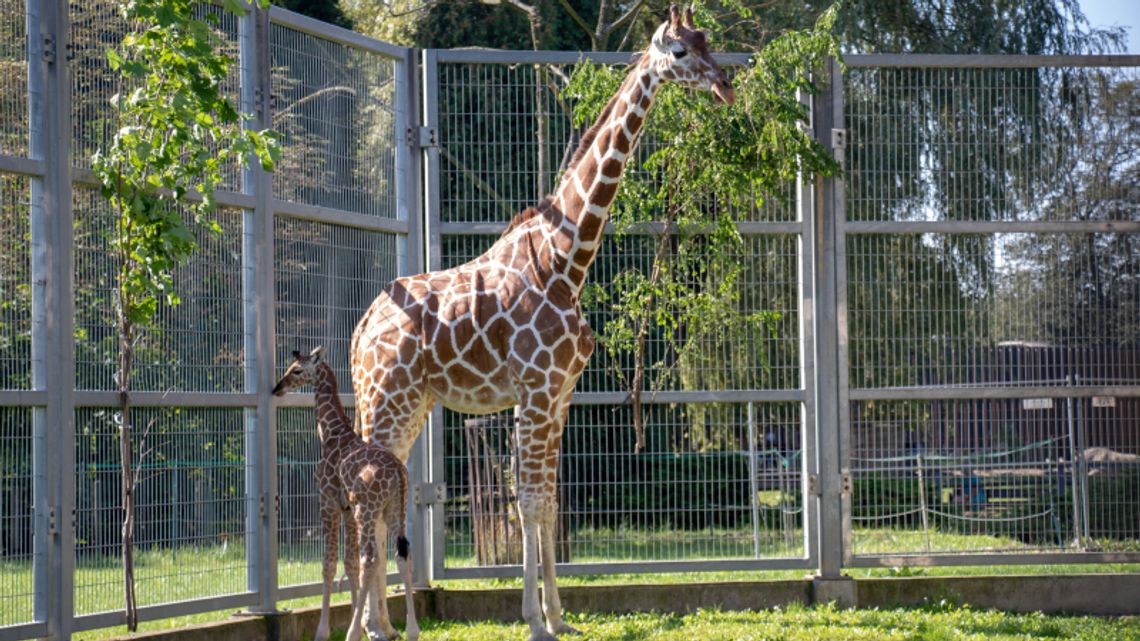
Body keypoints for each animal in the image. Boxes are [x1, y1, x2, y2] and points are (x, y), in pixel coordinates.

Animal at [273, 346, 421, 638]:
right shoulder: (348, 509)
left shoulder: (328, 500)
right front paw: (361, 626)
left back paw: (352, 633)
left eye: (296, 370)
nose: (277, 388)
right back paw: (412, 631)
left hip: (369, 508)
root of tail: (399, 474)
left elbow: (329, 564)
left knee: (372, 558)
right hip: (394, 509)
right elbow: (350, 564)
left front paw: (324, 631)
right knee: (402, 555)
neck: (330, 434)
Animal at [351, 6, 734, 638]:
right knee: (366, 495)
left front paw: (560, 616)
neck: (566, 260)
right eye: (679, 51)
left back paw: (377, 624)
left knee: (382, 497)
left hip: (409, 405)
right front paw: (533, 619)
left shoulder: (560, 394)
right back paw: (370, 626)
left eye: (709, 41)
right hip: (386, 400)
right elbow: (528, 502)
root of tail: (359, 331)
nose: (725, 84)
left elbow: (550, 502)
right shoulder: (533, 391)